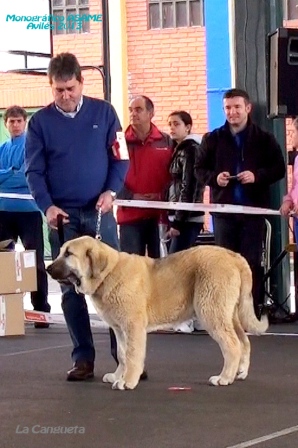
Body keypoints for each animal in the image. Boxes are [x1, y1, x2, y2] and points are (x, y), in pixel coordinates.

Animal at [47, 236, 268, 390]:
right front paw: (119, 375)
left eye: (68, 254)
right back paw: (240, 372)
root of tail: (234, 256)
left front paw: (128, 381)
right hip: (228, 314)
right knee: (244, 341)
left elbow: (132, 354)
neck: (107, 274)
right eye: (61, 251)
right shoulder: (119, 329)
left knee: (232, 345)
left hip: (211, 312)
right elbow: (122, 353)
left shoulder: (133, 326)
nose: (48, 268)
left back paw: (224, 377)